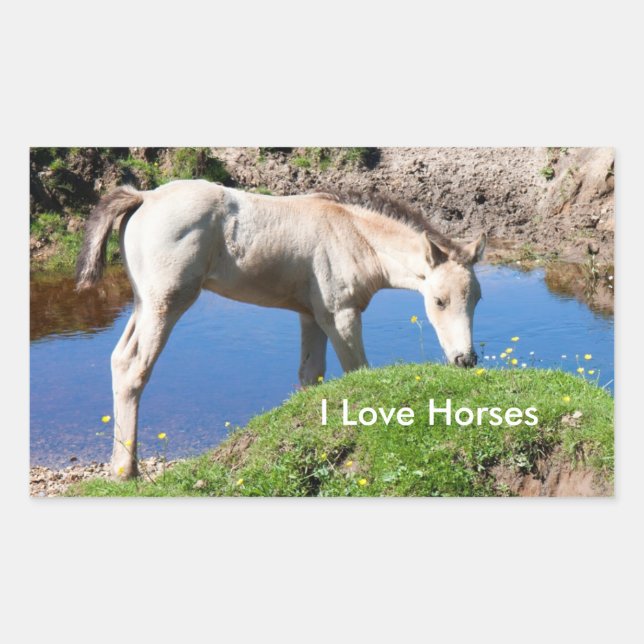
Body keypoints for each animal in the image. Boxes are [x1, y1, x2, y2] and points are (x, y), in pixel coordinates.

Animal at [76, 180, 486, 479]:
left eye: (477, 299)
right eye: (439, 301)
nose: (465, 359)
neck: (353, 235)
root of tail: (143, 196)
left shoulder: (311, 316)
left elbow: (311, 375)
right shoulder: (340, 315)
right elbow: (357, 372)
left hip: (143, 303)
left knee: (119, 360)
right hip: (167, 302)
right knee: (134, 368)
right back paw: (126, 471)